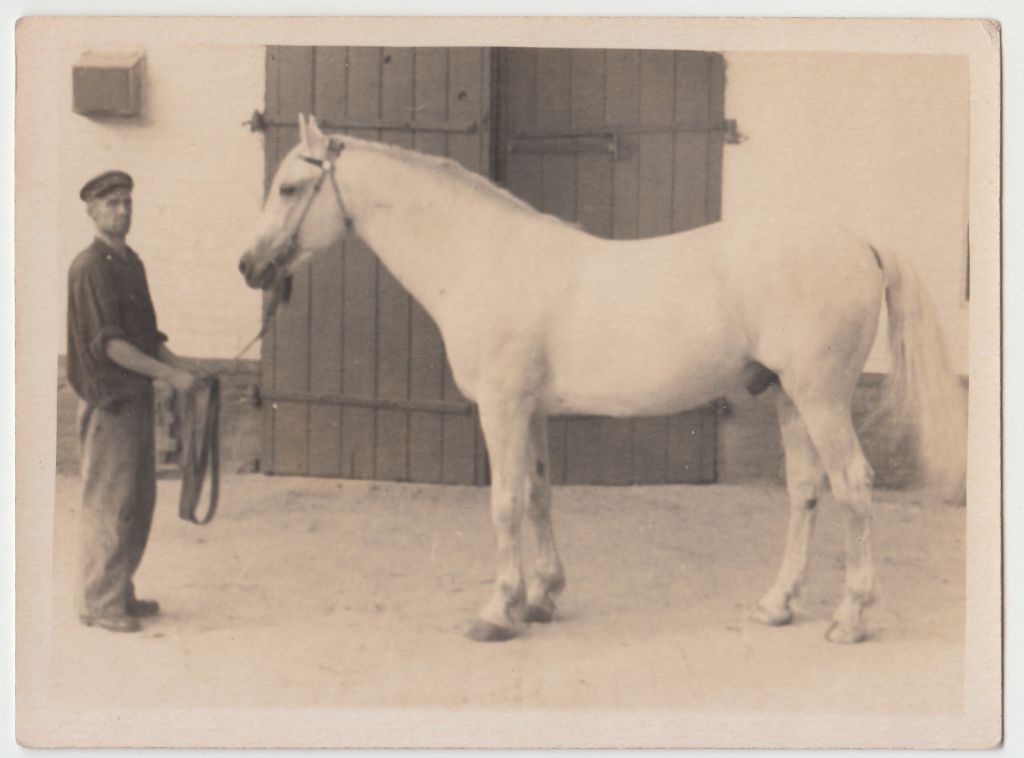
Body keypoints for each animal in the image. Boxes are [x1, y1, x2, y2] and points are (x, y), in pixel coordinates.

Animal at [239, 114, 966, 645]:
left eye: (289, 188)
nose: (249, 266)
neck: (484, 257)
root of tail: (861, 242)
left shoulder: (501, 407)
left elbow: (505, 503)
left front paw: (497, 612)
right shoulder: (530, 411)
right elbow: (538, 495)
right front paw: (542, 598)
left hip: (822, 398)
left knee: (854, 487)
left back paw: (850, 618)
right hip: (790, 397)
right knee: (807, 492)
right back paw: (776, 605)